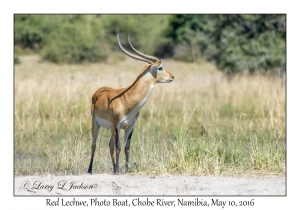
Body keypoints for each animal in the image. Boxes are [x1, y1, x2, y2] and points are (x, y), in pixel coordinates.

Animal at [86, 34, 175, 175]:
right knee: (94, 145)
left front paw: (126, 170)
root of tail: (99, 91)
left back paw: (113, 169)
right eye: (160, 67)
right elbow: (118, 147)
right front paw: (119, 170)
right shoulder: (117, 125)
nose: (172, 77)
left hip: (110, 128)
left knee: (110, 145)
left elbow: (126, 147)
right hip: (96, 124)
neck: (126, 101)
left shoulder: (130, 126)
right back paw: (90, 170)